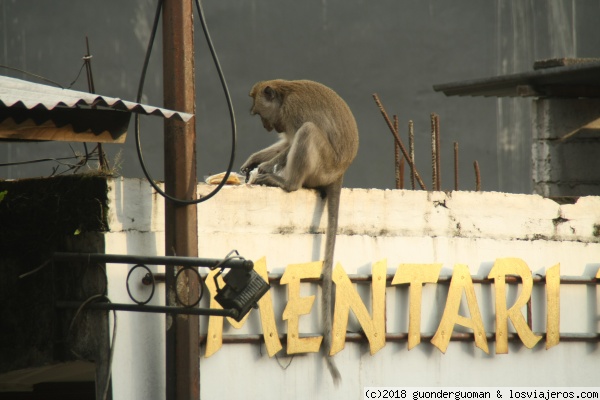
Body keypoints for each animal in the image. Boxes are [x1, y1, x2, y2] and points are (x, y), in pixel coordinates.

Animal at [240, 79, 360, 386]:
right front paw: (253, 160)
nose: (266, 125)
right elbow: (285, 142)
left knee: (308, 132)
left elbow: (294, 139)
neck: (284, 95)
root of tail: (339, 173)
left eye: (258, 112)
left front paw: (264, 167)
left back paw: (287, 182)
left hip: (321, 168)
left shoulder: (292, 112)